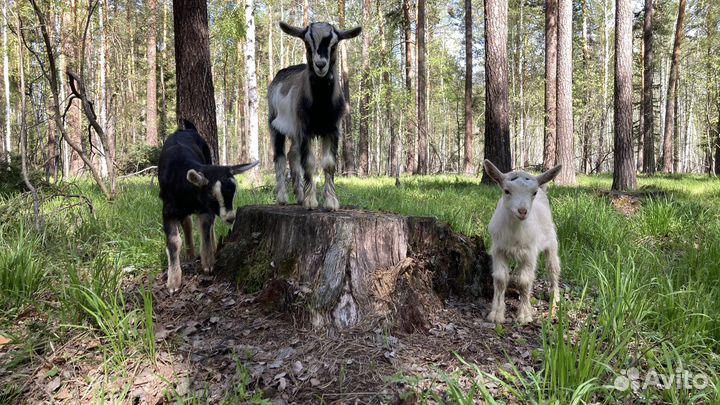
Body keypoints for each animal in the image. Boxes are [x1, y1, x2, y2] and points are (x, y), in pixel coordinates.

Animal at [158, 122, 258, 293]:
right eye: (212, 194)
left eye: (234, 193)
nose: (231, 218)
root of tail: (186, 129)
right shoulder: (168, 210)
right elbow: (173, 241)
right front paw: (173, 281)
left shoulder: (204, 209)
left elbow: (205, 229)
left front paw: (208, 263)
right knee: (187, 222)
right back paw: (190, 254)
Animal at [268, 21, 361, 210]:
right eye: (307, 43)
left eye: (334, 45)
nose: (320, 64)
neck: (321, 106)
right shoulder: (305, 130)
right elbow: (309, 163)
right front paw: (311, 202)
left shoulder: (333, 129)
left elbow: (329, 163)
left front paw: (331, 202)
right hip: (274, 123)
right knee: (280, 157)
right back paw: (282, 198)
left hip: (295, 132)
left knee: (292, 155)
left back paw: (299, 195)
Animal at [483, 159, 563, 323]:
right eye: (507, 191)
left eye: (533, 193)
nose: (522, 211)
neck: (515, 231)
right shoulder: (498, 250)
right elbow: (500, 279)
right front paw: (496, 314)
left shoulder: (529, 253)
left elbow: (524, 281)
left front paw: (524, 316)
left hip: (551, 241)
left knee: (553, 267)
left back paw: (555, 296)